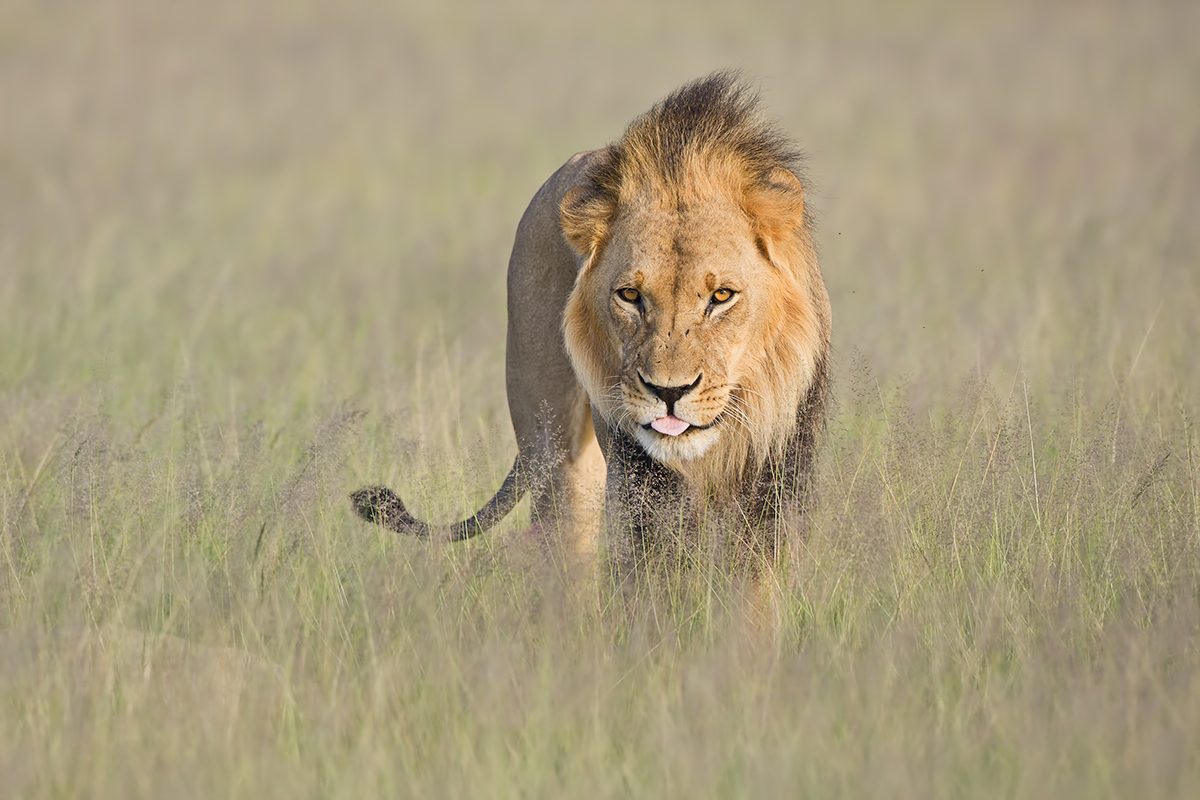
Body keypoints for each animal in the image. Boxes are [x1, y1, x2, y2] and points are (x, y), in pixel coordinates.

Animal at [352, 72, 831, 569]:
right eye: (630, 296)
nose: (669, 392)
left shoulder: (776, 475)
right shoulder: (640, 480)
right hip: (555, 450)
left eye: (721, 297)